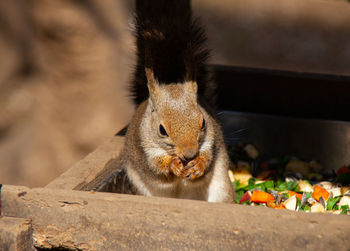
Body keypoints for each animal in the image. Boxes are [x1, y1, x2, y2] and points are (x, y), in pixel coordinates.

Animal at [118, 0, 235, 203]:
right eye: (162, 130)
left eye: (203, 122)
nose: (189, 154)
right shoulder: (146, 151)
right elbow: (158, 169)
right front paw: (174, 165)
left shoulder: (210, 141)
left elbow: (207, 159)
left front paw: (198, 165)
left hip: (221, 192)